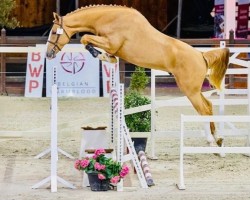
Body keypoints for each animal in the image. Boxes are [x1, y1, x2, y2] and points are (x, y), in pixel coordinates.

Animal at [46, 4, 229, 145]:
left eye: (54, 32)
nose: (48, 54)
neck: (108, 19)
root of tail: (201, 55)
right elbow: (88, 40)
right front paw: (106, 57)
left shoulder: (111, 43)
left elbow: (85, 38)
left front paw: (101, 55)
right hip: (194, 89)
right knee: (208, 106)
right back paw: (217, 138)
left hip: (189, 89)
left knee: (203, 109)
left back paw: (212, 140)